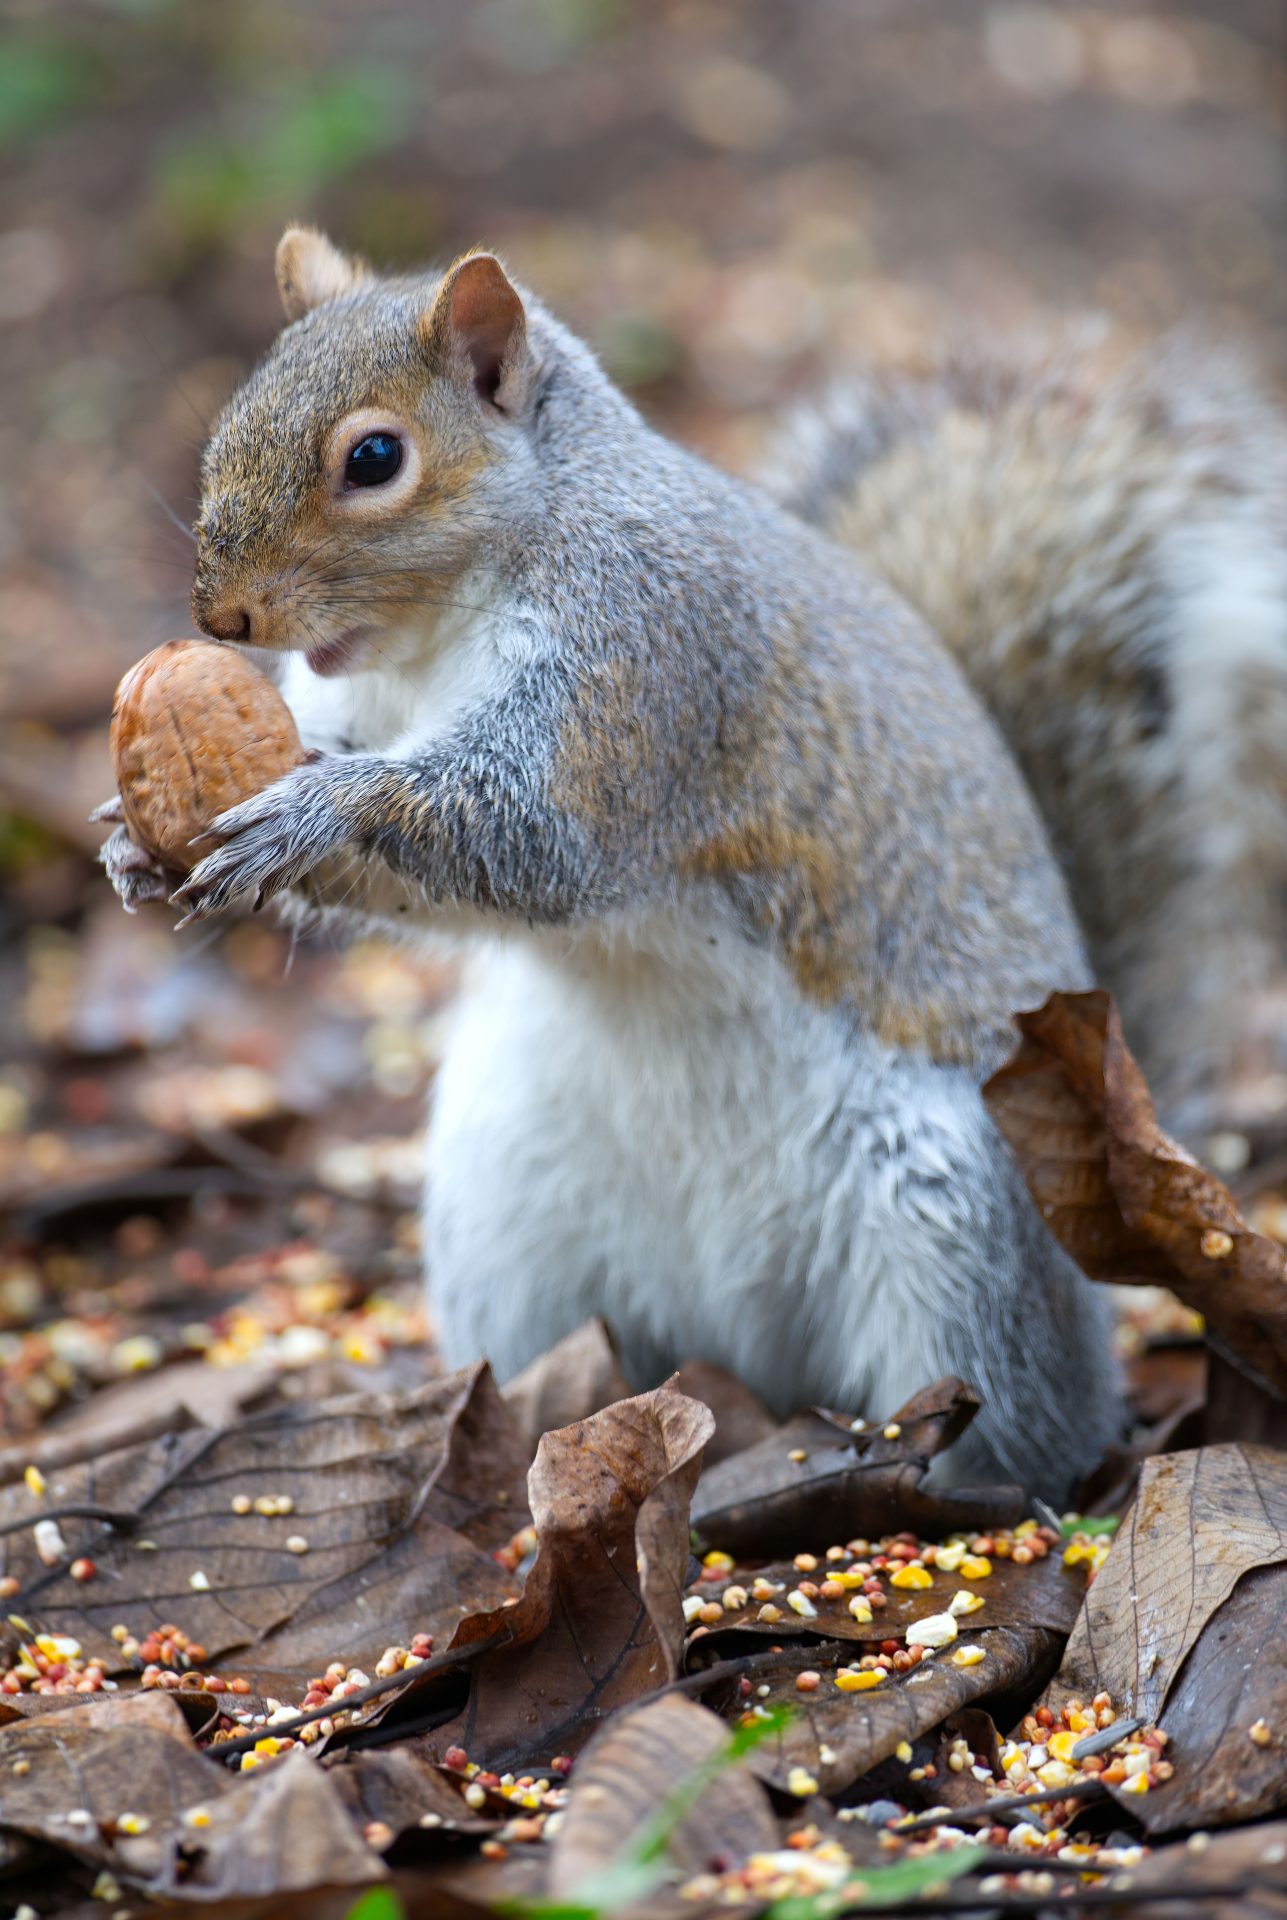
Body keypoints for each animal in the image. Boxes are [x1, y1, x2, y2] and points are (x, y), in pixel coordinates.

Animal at [100, 228, 1125, 1499]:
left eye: (375, 458)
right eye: (234, 414)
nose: (222, 619)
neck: (440, 627)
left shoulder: (639, 662)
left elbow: (539, 836)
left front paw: (316, 810)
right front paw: (132, 840)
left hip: (952, 1219)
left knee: (1014, 1410)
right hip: (509, 1211)